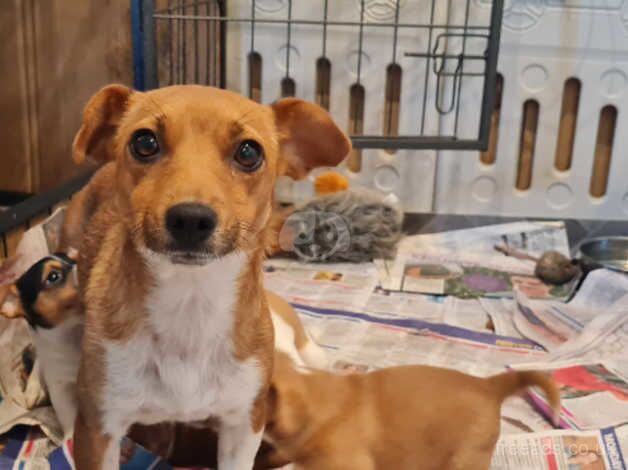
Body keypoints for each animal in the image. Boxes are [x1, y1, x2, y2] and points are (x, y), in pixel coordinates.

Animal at [0, 252, 82, 438]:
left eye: (75, 258)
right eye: (53, 277)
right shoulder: (60, 387)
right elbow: (68, 416)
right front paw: (70, 439)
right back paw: (34, 388)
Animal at [71, 84, 350, 470]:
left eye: (249, 152)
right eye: (144, 142)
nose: (190, 218)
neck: (191, 305)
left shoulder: (243, 427)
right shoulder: (98, 429)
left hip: (309, 354)